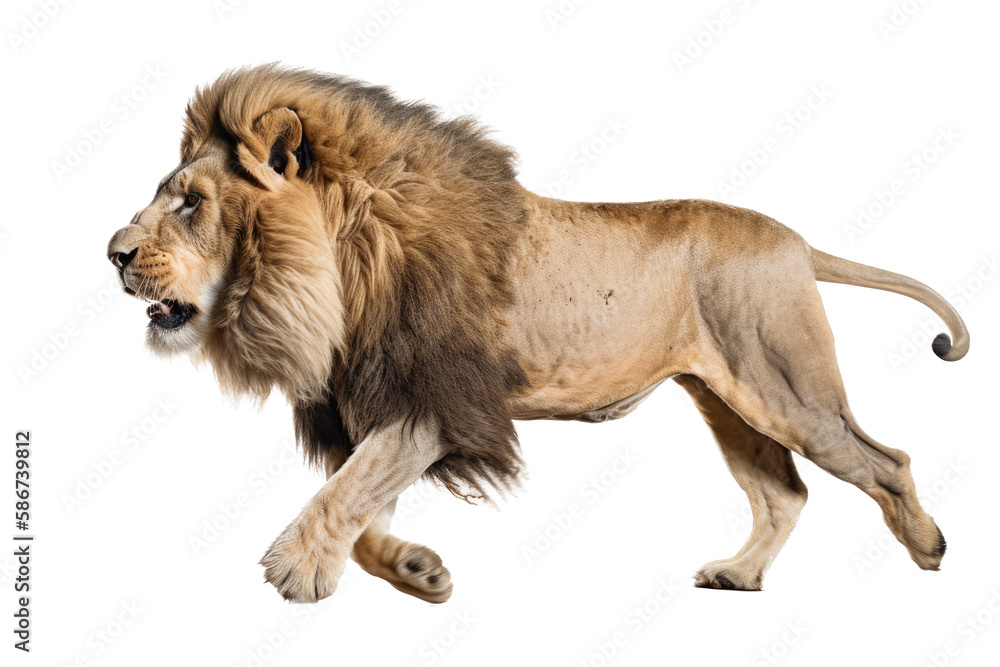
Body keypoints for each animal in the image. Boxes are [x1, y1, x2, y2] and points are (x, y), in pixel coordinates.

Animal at [107, 65, 969, 601]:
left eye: (190, 202)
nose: (112, 253)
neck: (336, 273)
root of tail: (795, 239)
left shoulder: (436, 400)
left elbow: (344, 492)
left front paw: (295, 570)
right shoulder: (376, 402)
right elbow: (362, 505)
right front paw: (417, 569)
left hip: (783, 383)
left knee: (884, 460)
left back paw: (930, 548)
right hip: (726, 398)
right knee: (783, 492)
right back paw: (740, 574)